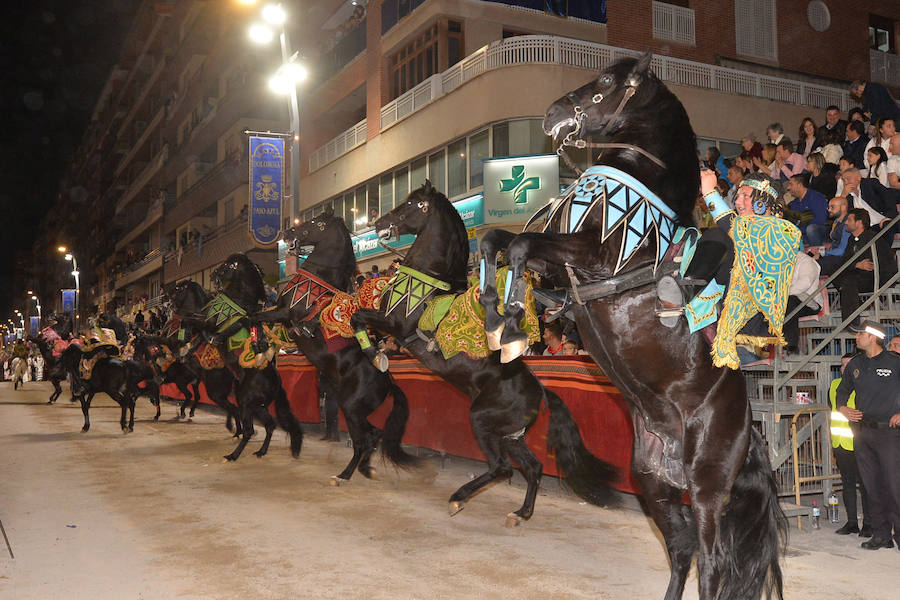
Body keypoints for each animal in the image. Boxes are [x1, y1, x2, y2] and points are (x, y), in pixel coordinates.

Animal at [202, 253, 304, 460]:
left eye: (226, 266)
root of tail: (277, 384)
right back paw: (260, 451)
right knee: (270, 424)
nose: (213, 275)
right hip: (258, 406)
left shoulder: (212, 323)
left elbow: (199, 325)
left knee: (250, 430)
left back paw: (233, 455)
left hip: (246, 403)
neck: (239, 301)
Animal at [350, 179, 620, 524]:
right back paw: (521, 513)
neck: (429, 280)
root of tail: (541, 393)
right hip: (509, 435)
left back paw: (458, 498)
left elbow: (358, 317)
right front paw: (376, 354)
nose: (380, 224)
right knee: (533, 467)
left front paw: (376, 355)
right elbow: (358, 318)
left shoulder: (396, 325)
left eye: (411, 203)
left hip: (481, 420)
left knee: (502, 468)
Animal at [482, 52, 784, 600]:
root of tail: (749, 428)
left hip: (706, 487)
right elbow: (496, 241)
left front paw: (511, 326)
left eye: (604, 81)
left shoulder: (595, 256)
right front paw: (496, 316)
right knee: (682, 551)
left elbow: (519, 245)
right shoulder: (558, 267)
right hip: (652, 483)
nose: (552, 115)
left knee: (712, 561)